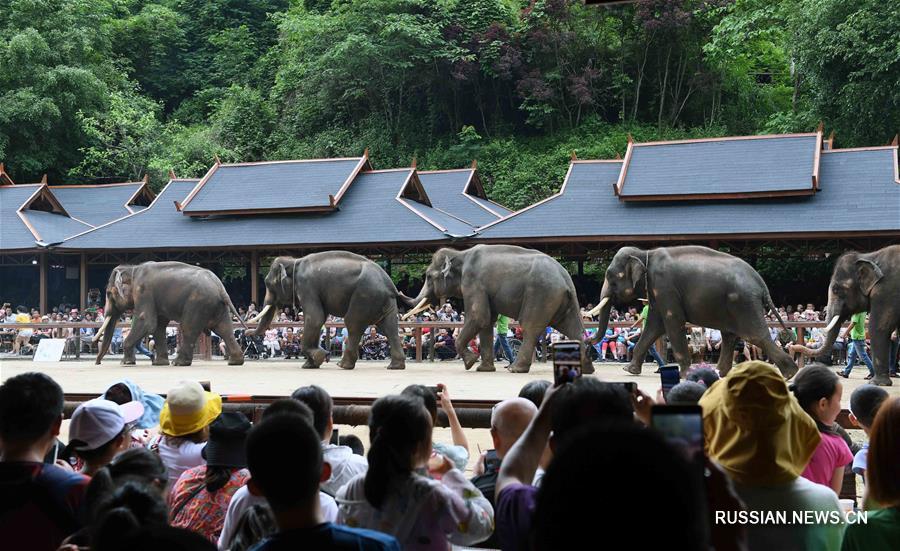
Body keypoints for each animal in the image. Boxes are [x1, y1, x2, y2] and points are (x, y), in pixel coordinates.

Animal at [94, 262, 246, 366]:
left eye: (108, 293)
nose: (97, 363)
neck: (133, 269)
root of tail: (220, 287)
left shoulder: (144, 292)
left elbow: (146, 322)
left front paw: (125, 363)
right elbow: (158, 327)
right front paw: (159, 363)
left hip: (198, 303)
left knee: (188, 328)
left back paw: (179, 363)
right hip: (217, 306)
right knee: (224, 329)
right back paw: (235, 361)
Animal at [244, 253, 410, 370]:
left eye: (268, 284)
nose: (246, 332)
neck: (294, 261)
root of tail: (390, 285)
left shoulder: (307, 286)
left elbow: (314, 318)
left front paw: (320, 356)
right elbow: (319, 319)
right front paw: (310, 364)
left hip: (365, 296)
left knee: (353, 324)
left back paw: (343, 365)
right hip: (383, 301)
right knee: (389, 328)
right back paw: (395, 366)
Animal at [404, 246, 596, 376]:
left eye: (429, 276)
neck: (460, 253)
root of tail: (566, 278)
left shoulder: (473, 283)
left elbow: (478, 317)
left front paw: (470, 362)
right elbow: (487, 322)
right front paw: (483, 369)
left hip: (541, 294)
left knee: (530, 328)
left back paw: (515, 369)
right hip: (560, 300)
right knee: (573, 329)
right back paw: (586, 370)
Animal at [592, 246, 796, 380]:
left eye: (611, 277)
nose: (587, 342)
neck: (645, 253)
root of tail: (761, 283)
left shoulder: (665, 286)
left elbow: (672, 322)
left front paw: (685, 375)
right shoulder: (657, 291)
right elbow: (654, 325)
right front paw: (629, 370)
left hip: (744, 303)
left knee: (755, 336)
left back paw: (790, 374)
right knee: (729, 335)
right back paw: (720, 373)